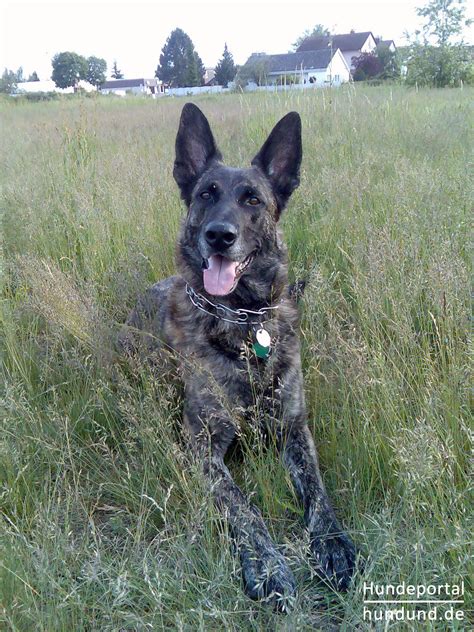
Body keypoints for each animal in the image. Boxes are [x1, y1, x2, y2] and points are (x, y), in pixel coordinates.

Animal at [119, 102, 356, 608]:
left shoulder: (294, 429)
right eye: (206, 194)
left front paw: (332, 545)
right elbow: (244, 509)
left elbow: (318, 493)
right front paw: (267, 566)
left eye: (252, 200)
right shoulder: (202, 448)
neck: (245, 323)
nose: (219, 236)